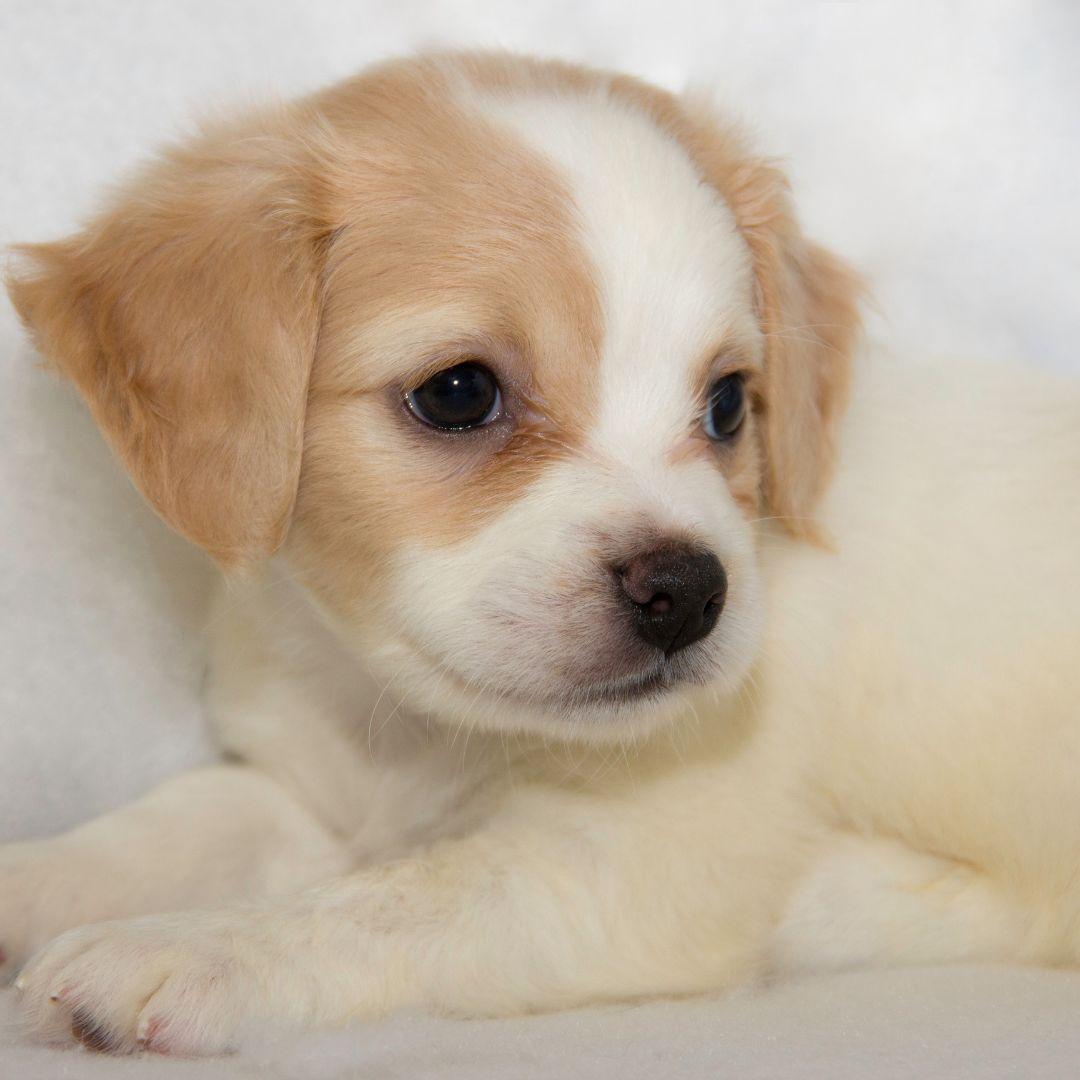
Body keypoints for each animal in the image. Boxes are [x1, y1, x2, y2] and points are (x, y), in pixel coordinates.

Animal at [2, 50, 1080, 1054]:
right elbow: (160, 826)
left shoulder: (627, 867)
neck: (411, 732)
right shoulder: (297, 792)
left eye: (729, 403)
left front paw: (185, 947)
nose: (689, 592)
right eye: (458, 392)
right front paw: (35, 880)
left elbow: (388, 903)